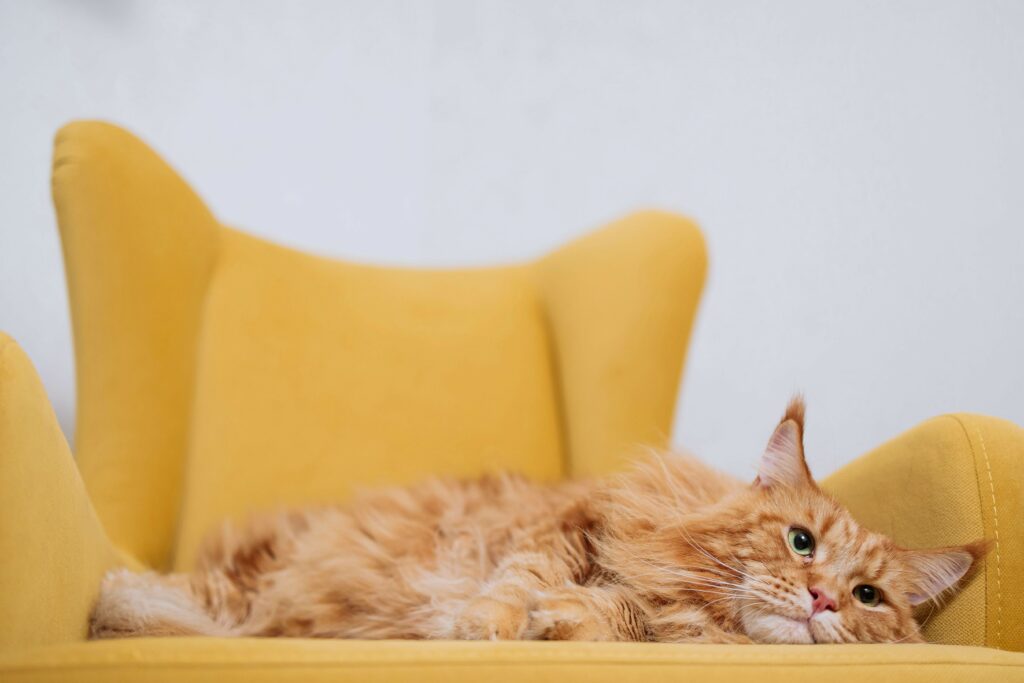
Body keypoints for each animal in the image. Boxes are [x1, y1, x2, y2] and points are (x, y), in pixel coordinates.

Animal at [92, 397, 987, 643]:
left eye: (869, 595)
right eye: (801, 541)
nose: (824, 599)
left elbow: (600, 613)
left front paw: (558, 618)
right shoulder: (566, 527)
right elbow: (514, 582)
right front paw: (486, 623)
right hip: (261, 580)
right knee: (173, 595)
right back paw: (114, 607)